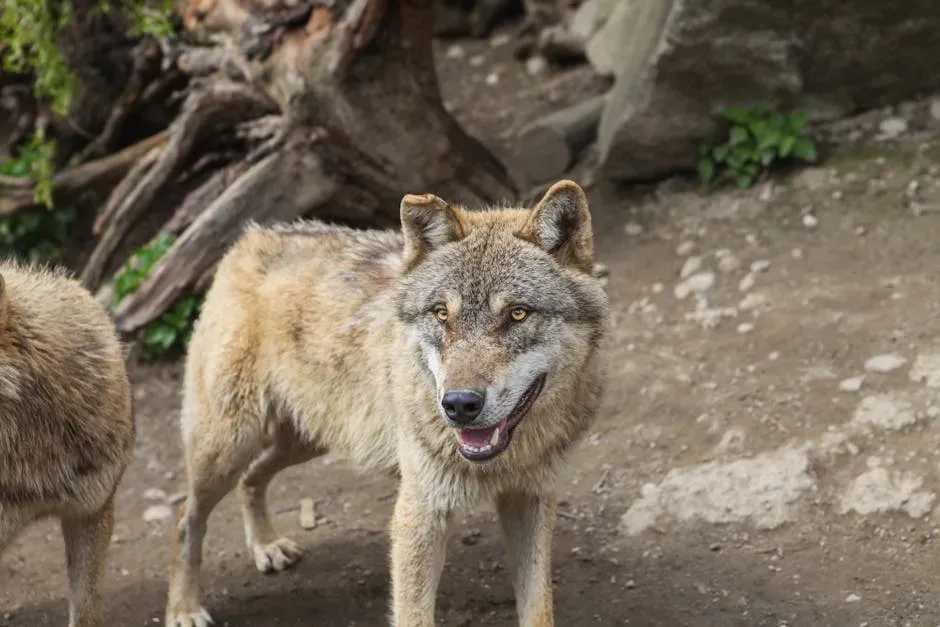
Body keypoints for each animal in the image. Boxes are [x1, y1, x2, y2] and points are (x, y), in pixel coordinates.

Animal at [164, 179, 609, 627]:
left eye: (518, 314)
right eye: (441, 313)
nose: (459, 404)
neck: (504, 460)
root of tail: (250, 238)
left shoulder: (530, 499)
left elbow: (539, 608)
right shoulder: (419, 513)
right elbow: (413, 613)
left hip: (307, 440)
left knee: (251, 478)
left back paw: (266, 546)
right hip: (227, 447)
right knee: (186, 518)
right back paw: (184, 608)